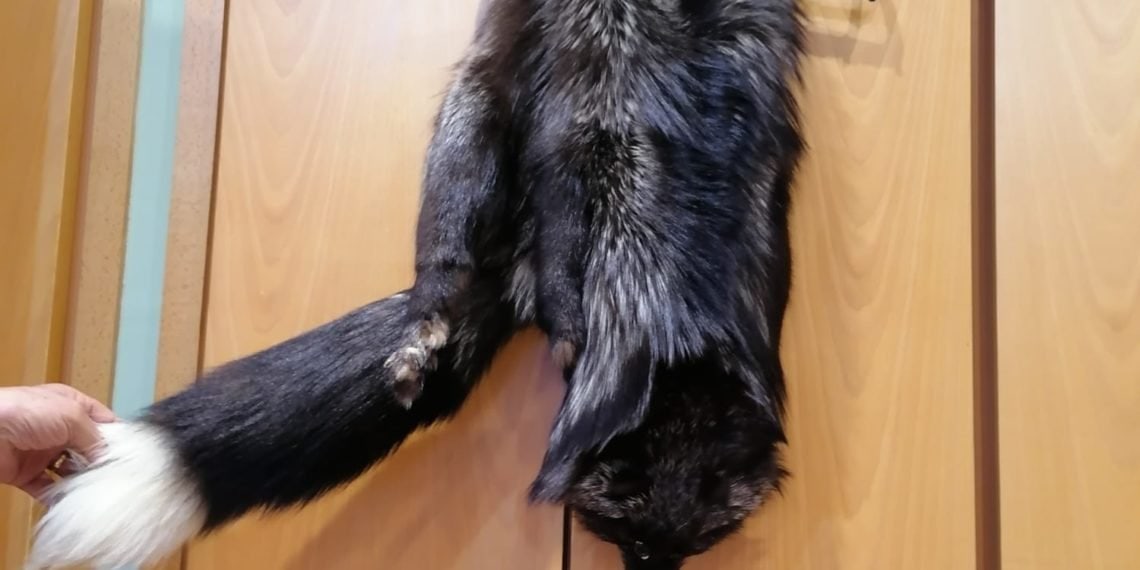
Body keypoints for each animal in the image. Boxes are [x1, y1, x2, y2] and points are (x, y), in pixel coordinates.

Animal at [28, 0, 804, 569]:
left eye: (695, 546)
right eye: (631, 543)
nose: (656, 568)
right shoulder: (574, 143)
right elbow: (556, 267)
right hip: (475, 104)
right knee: (441, 253)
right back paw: (428, 321)